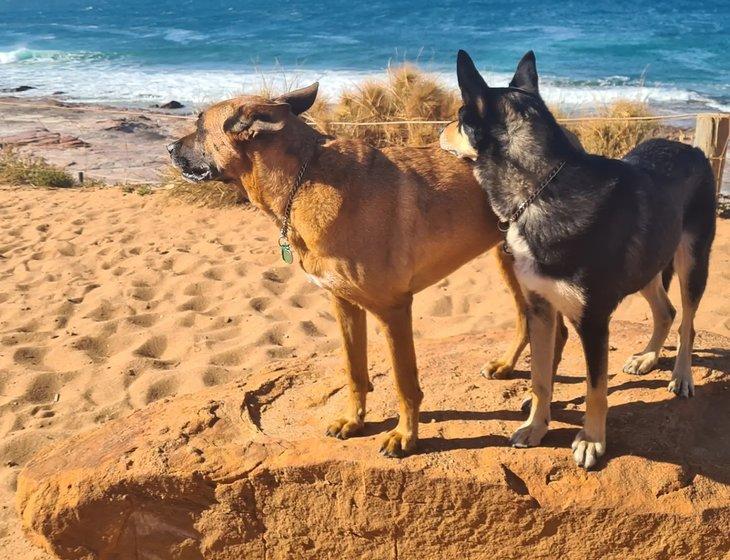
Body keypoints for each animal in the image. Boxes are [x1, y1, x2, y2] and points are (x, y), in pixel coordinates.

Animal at [169, 84, 564, 460]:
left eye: (200, 126)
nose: (170, 148)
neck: (304, 180)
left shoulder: (393, 310)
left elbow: (404, 383)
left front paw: (405, 437)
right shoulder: (344, 304)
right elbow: (354, 370)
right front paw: (353, 420)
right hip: (508, 261)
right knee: (536, 324)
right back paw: (515, 373)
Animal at [440, 49, 712, 468]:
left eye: (458, 115)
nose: (439, 131)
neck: (538, 189)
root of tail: (693, 149)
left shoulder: (594, 321)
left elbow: (595, 388)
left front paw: (592, 440)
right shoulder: (540, 309)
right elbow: (539, 378)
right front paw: (536, 428)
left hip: (692, 262)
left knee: (687, 323)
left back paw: (681, 375)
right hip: (648, 263)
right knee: (666, 311)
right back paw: (648, 358)